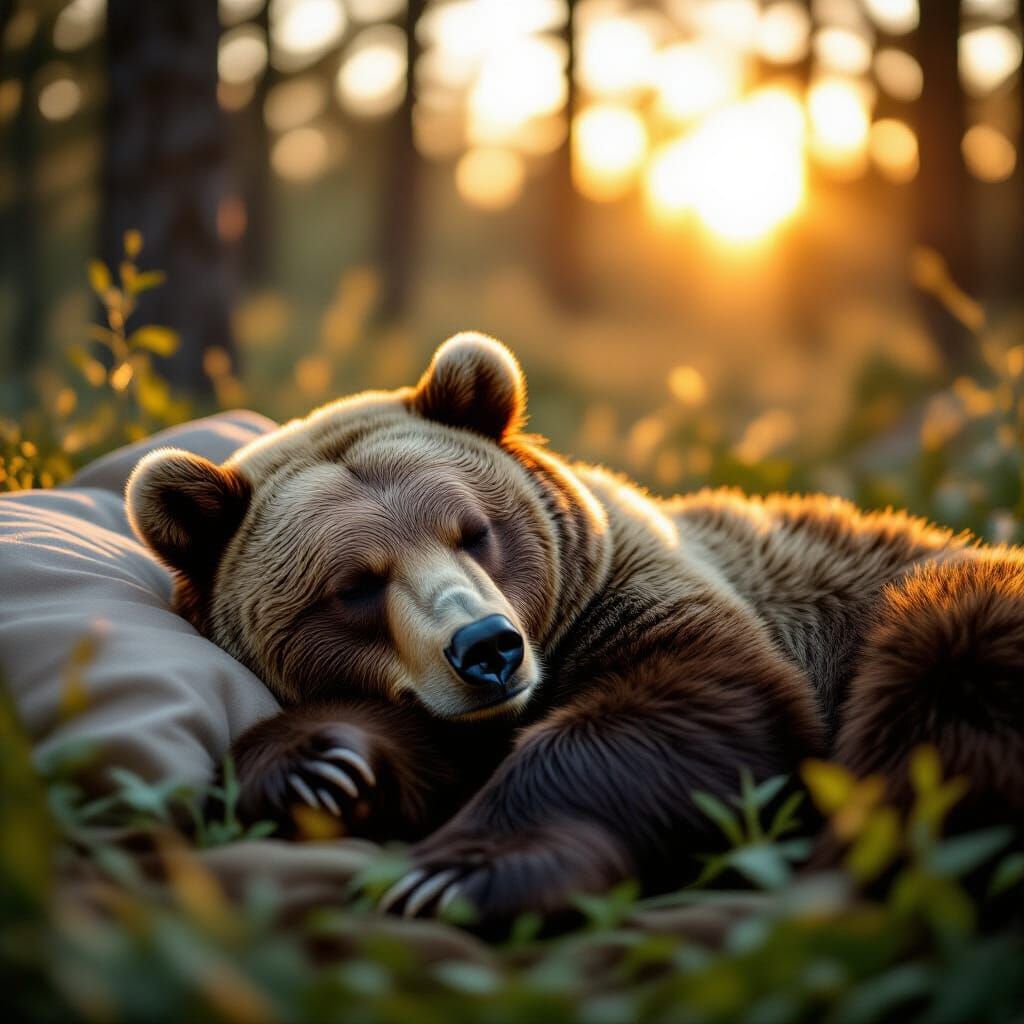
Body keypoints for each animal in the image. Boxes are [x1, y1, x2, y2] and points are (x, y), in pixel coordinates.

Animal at [126, 332, 1024, 926]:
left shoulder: (653, 602)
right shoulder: (444, 705)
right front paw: (322, 769)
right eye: (354, 584)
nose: (487, 649)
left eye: (473, 530)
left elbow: (675, 712)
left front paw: (458, 875)